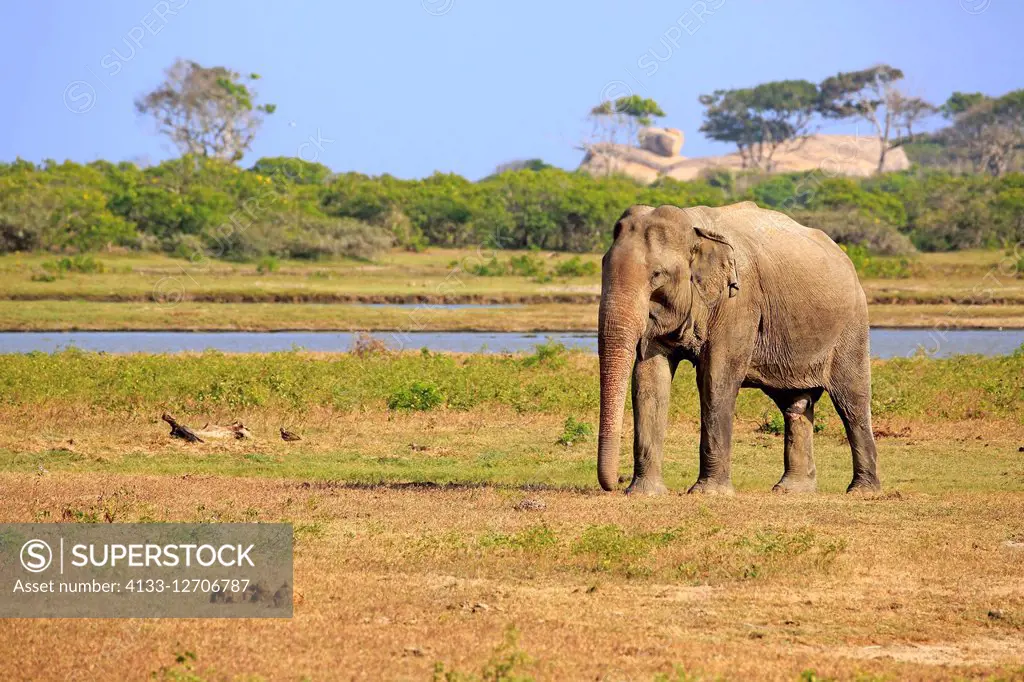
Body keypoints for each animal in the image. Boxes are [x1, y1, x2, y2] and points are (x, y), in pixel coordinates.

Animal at [598, 201, 880, 493]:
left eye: (657, 275)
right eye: (602, 266)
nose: (615, 483)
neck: (694, 227)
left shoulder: (738, 302)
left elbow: (715, 378)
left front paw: (709, 493)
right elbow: (649, 380)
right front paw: (643, 493)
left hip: (852, 325)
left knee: (852, 402)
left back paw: (862, 490)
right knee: (795, 405)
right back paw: (791, 490)